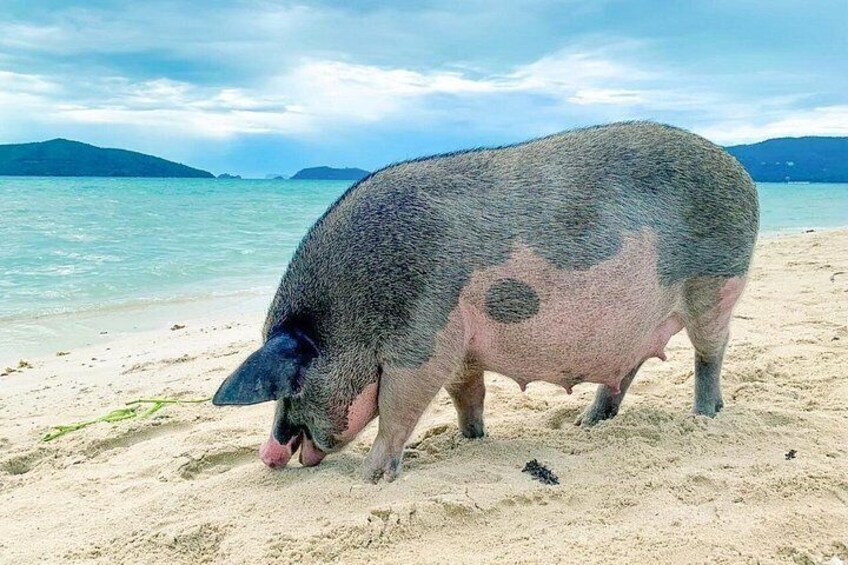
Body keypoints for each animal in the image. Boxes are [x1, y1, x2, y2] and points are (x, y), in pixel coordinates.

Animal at [212, 121, 759, 482]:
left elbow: (396, 411)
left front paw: (367, 480)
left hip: (716, 285)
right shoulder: (460, 349)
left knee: (710, 353)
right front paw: (471, 441)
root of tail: (742, 171)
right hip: (640, 326)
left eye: (292, 386)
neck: (352, 315)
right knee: (626, 370)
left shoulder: (423, 341)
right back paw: (585, 425)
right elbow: (466, 397)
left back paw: (704, 416)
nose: (266, 456)